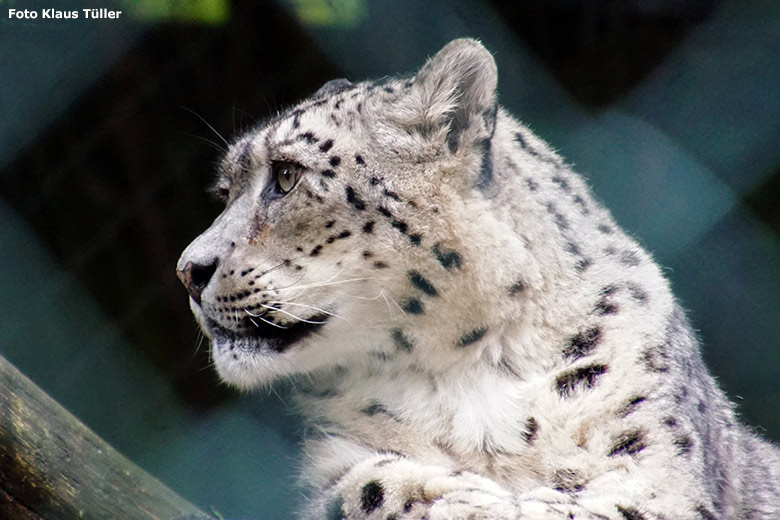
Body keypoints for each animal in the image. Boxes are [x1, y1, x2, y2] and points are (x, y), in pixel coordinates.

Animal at [177, 38, 780, 516]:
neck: (466, 378)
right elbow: (367, 484)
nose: (188, 271)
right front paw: (472, 498)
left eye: (286, 175)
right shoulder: (329, 456)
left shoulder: (660, 476)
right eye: (225, 191)